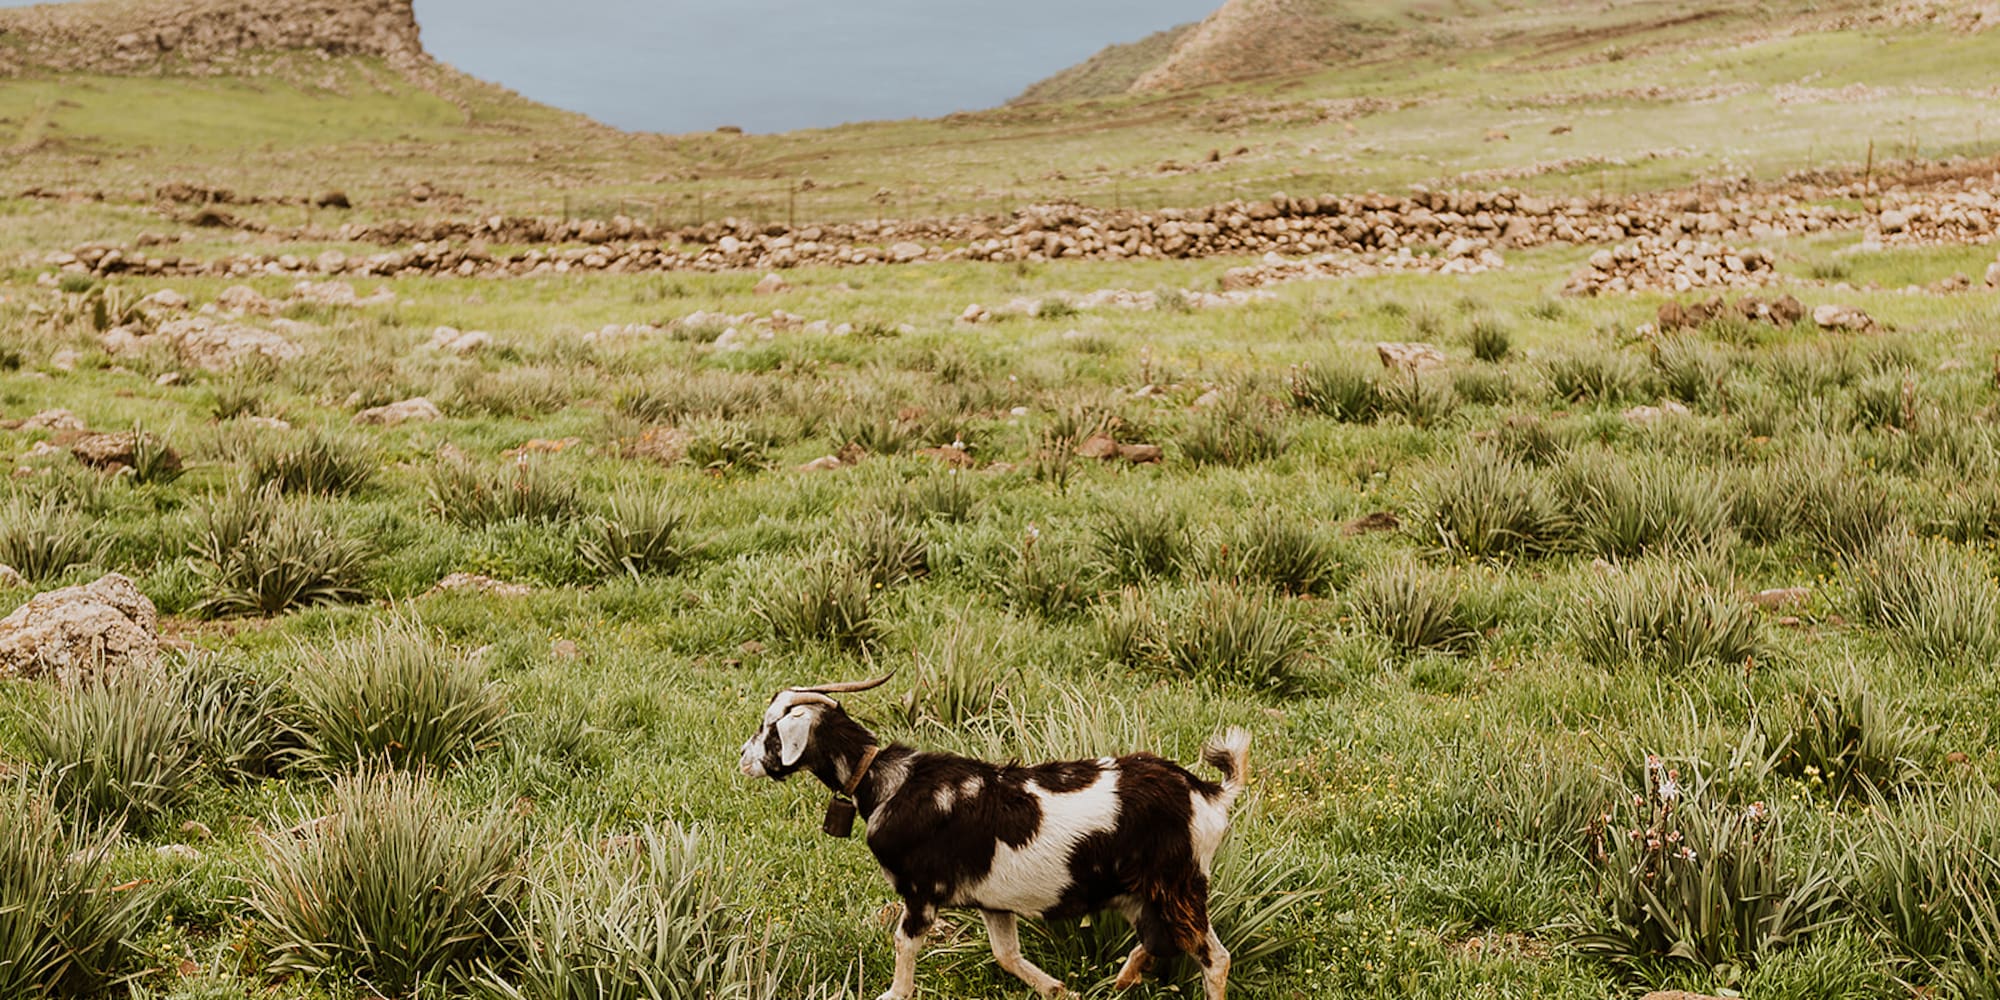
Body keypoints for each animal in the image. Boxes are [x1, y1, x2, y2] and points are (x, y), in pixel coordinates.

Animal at [738, 674, 1251, 1000]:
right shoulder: (994, 901)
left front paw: (892, 993)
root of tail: (1209, 793)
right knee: (1161, 940)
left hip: (1178, 884)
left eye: (771, 731)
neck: (887, 783)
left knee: (1214, 958)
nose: (742, 758)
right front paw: (1060, 989)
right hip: (1141, 891)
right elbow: (1006, 955)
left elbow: (904, 947)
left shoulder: (920, 893)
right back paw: (1121, 981)